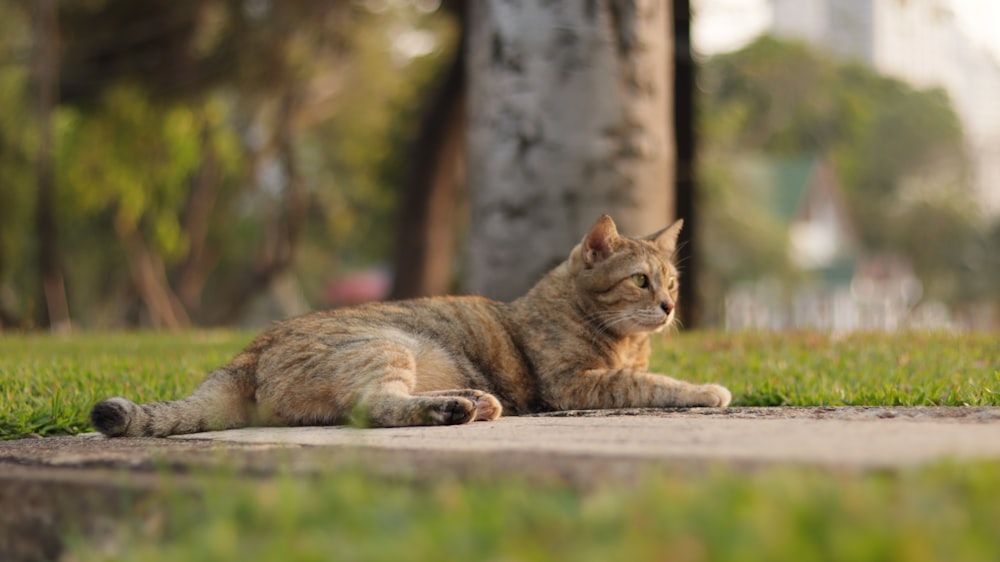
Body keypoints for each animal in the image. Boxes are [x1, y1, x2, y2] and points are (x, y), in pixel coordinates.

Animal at [90, 215, 732, 438]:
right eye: (641, 282)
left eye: (672, 284)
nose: (669, 307)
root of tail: (248, 349)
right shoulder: (578, 385)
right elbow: (658, 386)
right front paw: (710, 389)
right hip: (387, 347)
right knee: (373, 409)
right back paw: (454, 408)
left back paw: (473, 400)